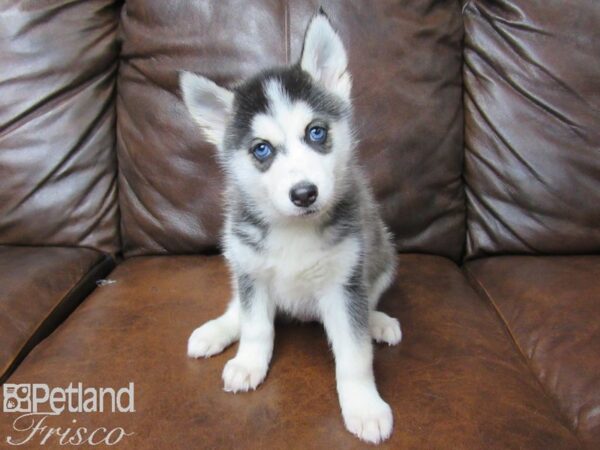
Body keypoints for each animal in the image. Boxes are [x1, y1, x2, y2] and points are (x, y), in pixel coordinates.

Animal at [180, 9, 400, 442]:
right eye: (261, 149)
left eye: (316, 132)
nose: (304, 194)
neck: (294, 230)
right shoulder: (251, 271)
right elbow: (256, 328)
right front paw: (249, 362)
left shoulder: (344, 283)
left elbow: (354, 353)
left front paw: (364, 406)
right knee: (240, 308)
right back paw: (217, 330)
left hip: (382, 253)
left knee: (371, 299)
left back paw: (378, 322)